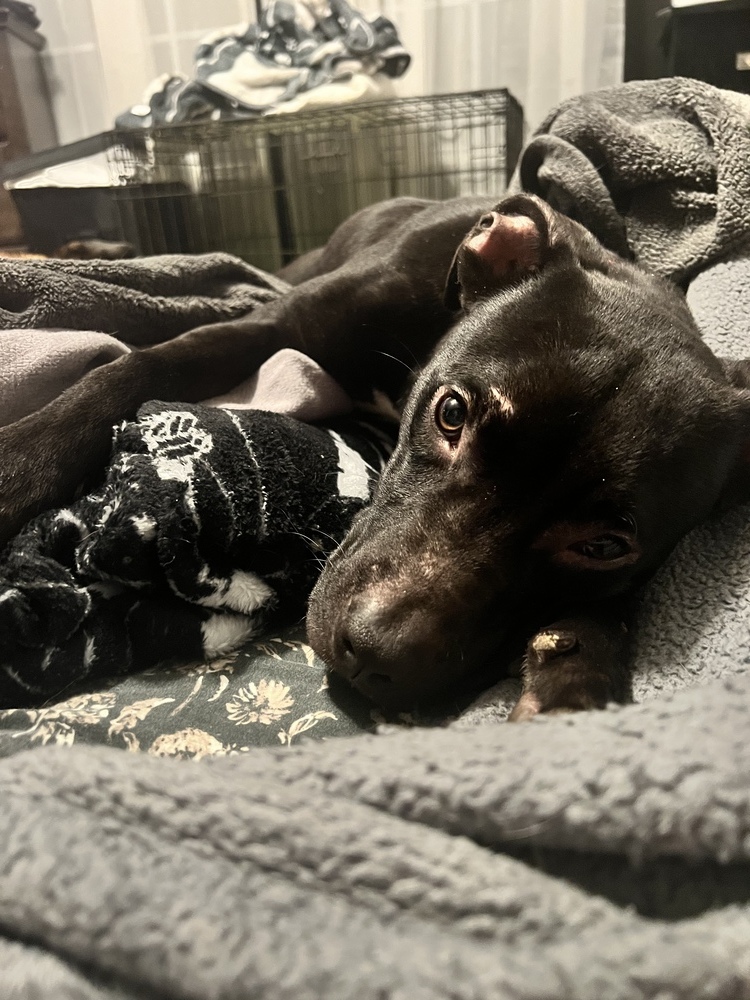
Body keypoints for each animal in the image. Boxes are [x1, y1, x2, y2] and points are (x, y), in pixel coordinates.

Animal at [0, 193, 748, 720]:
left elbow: (610, 610)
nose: (374, 656)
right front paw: (18, 465)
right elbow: (129, 372)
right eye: (451, 413)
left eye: (603, 546)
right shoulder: (270, 327)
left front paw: (575, 687)